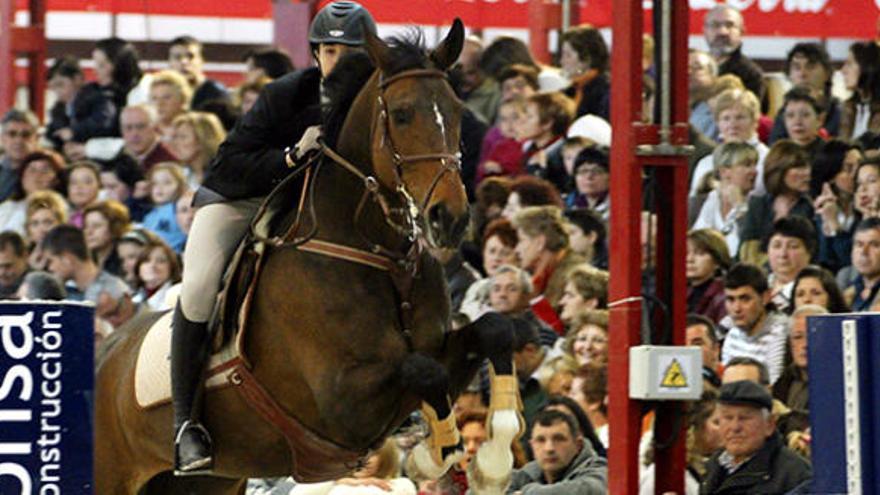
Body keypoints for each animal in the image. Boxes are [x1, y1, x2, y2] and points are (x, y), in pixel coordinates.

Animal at [96, 19, 524, 495]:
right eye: (401, 114)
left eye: (455, 111)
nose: (450, 218)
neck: (379, 254)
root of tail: (106, 351)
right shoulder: (343, 404)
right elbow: (423, 370)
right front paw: (437, 455)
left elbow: (495, 329)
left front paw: (491, 461)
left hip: (210, 481)